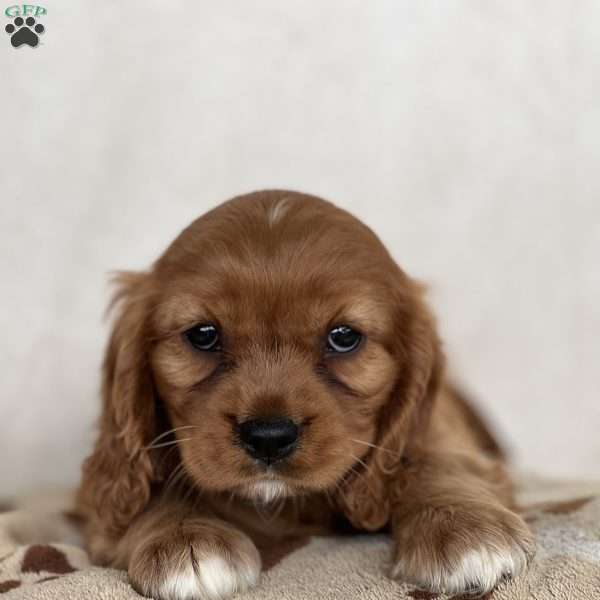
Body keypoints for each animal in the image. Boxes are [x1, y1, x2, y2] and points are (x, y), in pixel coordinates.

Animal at [76, 190, 536, 596]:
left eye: (344, 337)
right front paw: (184, 539)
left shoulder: (441, 429)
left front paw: (464, 527)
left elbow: (433, 455)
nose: (269, 436)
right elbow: (150, 486)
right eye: (202, 335)